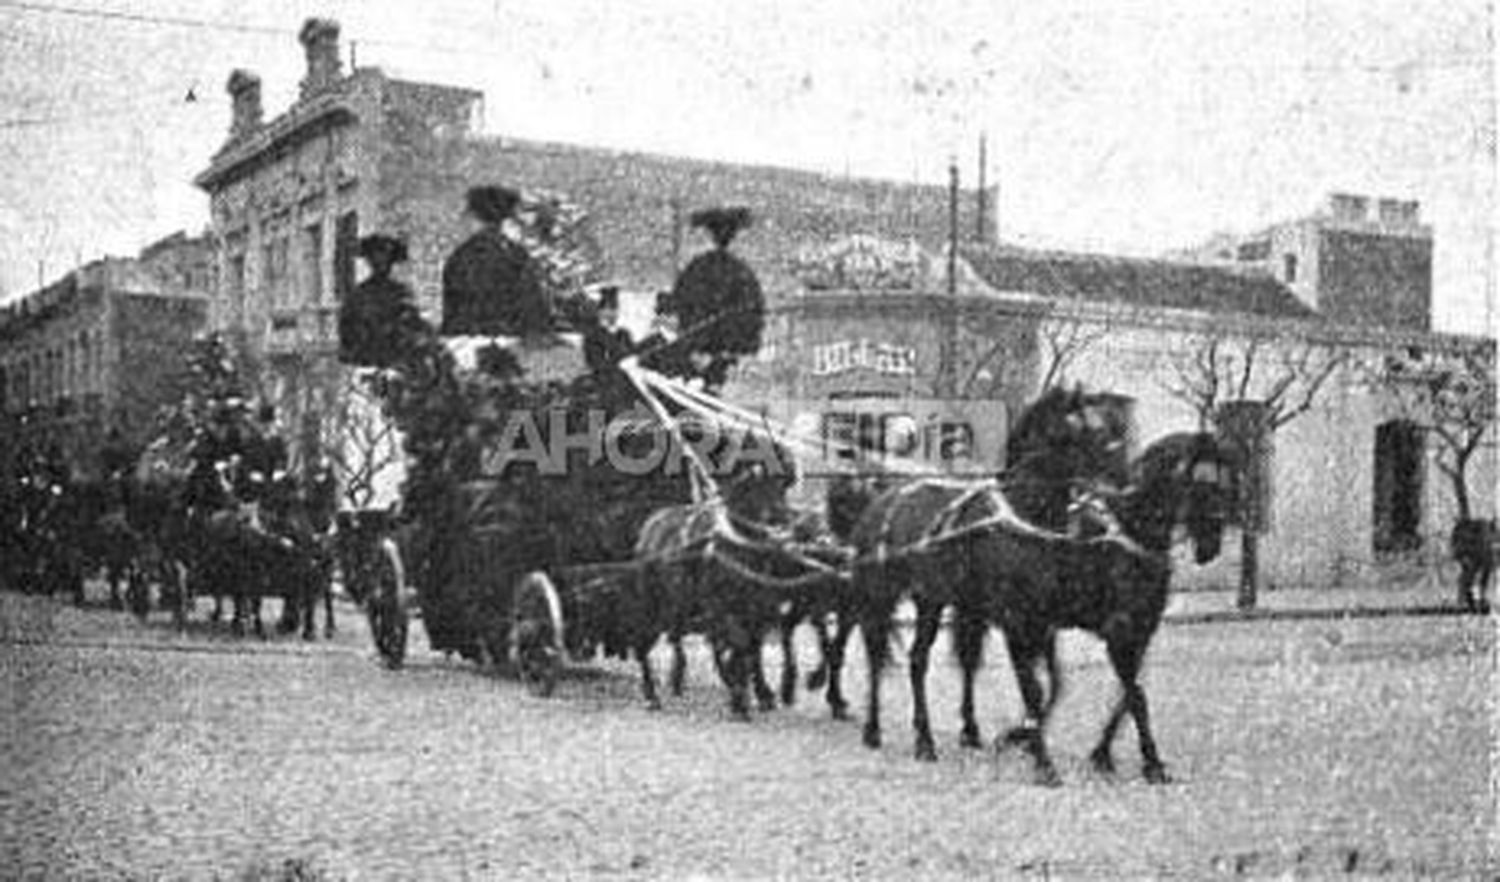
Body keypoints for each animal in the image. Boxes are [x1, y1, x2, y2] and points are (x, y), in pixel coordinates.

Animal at [948, 432, 1230, 780]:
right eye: (1200, 483)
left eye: (1223, 482)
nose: (1211, 546)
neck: (1132, 532)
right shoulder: (1118, 632)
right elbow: (1136, 696)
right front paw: (1151, 762)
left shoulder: (1140, 634)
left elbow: (1126, 695)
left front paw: (1101, 754)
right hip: (990, 612)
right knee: (974, 663)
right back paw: (977, 732)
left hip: (1036, 625)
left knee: (1044, 683)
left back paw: (1019, 735)